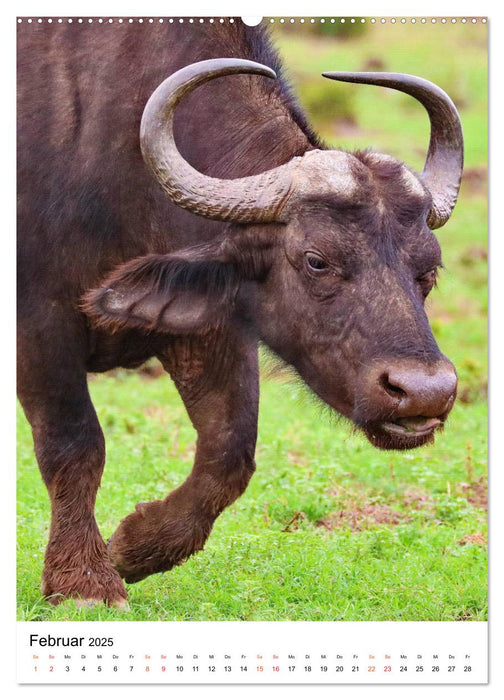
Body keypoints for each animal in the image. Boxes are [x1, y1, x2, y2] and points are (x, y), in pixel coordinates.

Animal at [17, 17, 462, 608]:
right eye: (317, 260)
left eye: (428, 270)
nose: (424, 393)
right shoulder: (40, 324)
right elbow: (74, 444)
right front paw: (83, 581)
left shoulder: (212, 331)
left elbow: (230, 452)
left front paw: (135, 546)